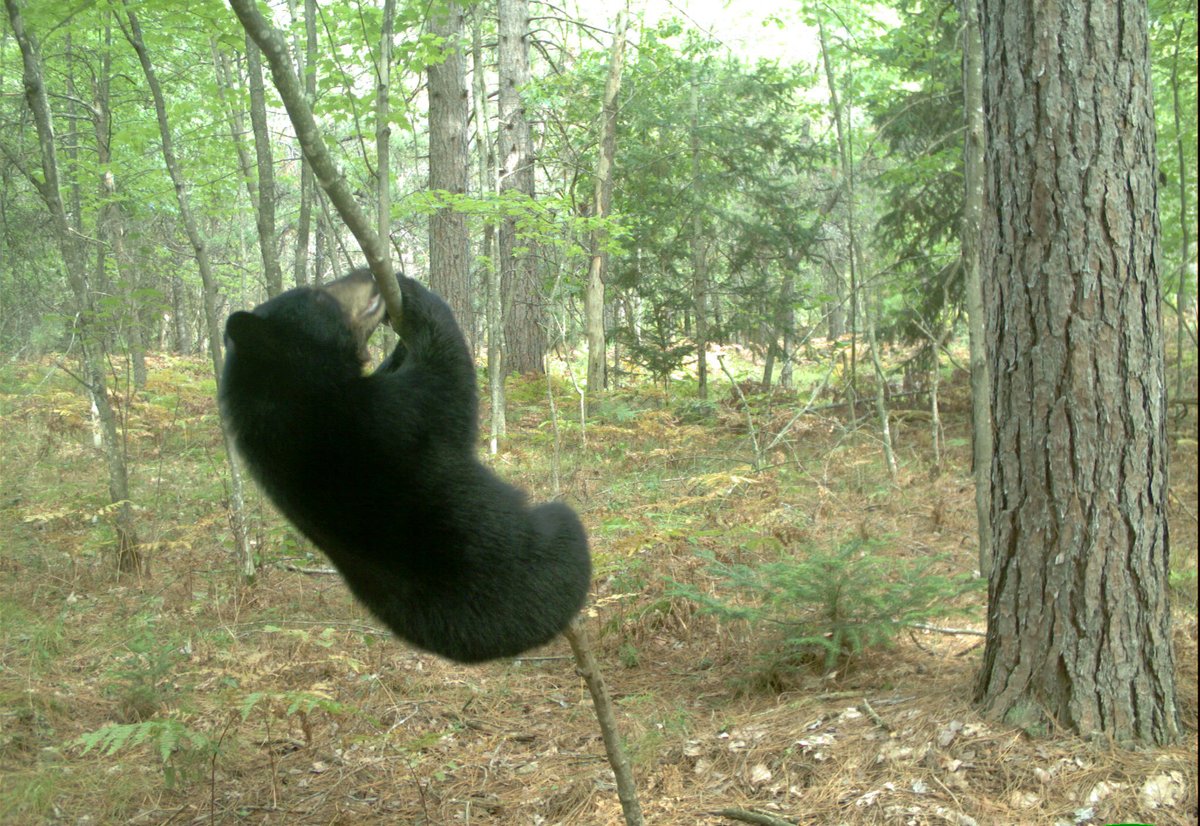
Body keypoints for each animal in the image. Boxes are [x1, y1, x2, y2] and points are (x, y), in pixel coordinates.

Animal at [218, 268, 591, 663]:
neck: (290, 395)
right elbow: (446, 381)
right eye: (318, 295)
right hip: (554, 561)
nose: (366, 273)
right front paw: (414, 295)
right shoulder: (385, 418)